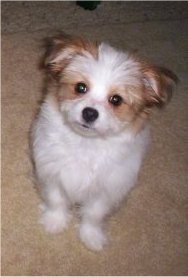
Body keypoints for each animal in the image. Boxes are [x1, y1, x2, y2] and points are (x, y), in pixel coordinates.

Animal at [30, 32, 177, 250]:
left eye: (116, 100)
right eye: (80, 87)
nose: (90, 113)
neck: (86, 144)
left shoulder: (107, 189)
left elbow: (93, 215)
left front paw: (91, 236)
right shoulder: (52, 172)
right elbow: (56, 200)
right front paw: (54, 222)